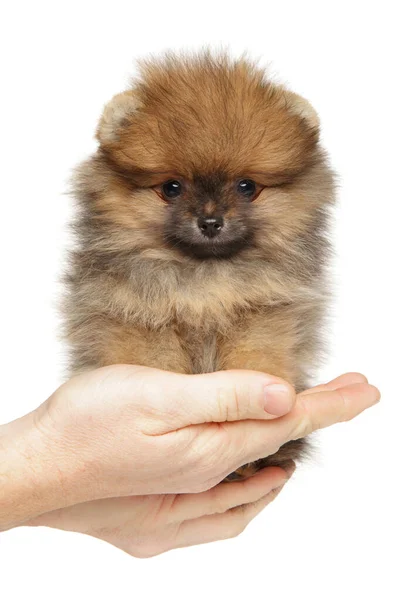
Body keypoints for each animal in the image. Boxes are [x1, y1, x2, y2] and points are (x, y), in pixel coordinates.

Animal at [65, 52, 334, 482]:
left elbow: (255, 358)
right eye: (172, 188)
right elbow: (157, 364)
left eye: (246, 187)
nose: (210, 221)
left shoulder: (265, 313)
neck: (205, 276)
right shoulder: (139, 318)